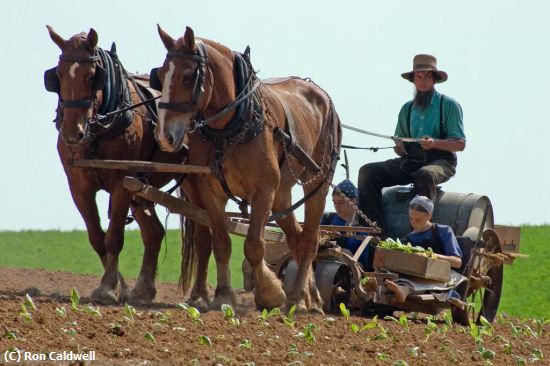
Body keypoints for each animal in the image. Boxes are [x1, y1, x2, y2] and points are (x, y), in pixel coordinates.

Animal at [45, 25, 188, 304]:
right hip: (140, 188)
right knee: (154, 233)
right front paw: (120, 285)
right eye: (57, 75)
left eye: (92, 76)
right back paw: (143, 289)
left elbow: (113, 237)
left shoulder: (122, 182)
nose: (72, 133)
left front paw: (108, 288)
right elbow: (97, 237)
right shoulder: (79, 187)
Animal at [151, 25, 340, 312]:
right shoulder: (210, 192)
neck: (228, 131)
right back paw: (311, 297)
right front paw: (223, 296)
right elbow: (222, 242)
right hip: (282, 195)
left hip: (316, 183)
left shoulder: (263, 191)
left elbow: (253, 245)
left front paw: (270, 294)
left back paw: (298, 298)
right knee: (295, 238)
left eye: (188, 76)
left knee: (309, 240)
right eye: (160, 76)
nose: (164, 136)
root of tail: (322, 96)